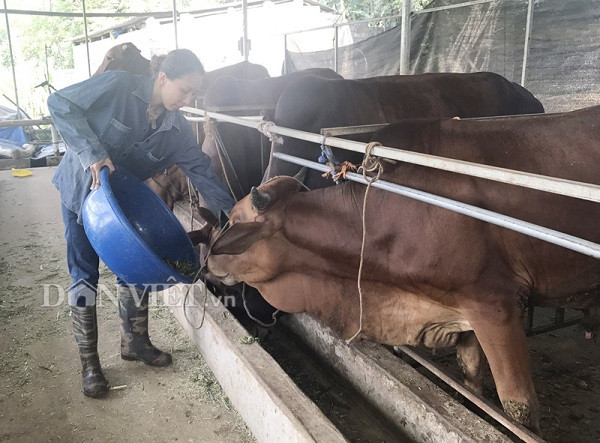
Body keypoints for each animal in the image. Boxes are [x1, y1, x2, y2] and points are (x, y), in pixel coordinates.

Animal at [203, 105, 600, 434]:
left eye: (234, 221)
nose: (207, 260)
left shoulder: (497, 306)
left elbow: (519, 408)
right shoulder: (461, 307)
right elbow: (472, 379)